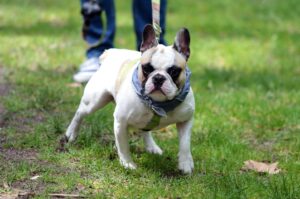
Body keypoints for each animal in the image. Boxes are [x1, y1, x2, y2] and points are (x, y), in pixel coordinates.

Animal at [64, 24, 195, 173]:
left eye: (174, 71)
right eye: (146, 68)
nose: (158, 78)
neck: (159, 103)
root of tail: (111, 54)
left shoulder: (186, 120)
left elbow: (185, 144)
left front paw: (185, 164)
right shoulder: (121, 122)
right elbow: (123, 146)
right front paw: (127, 163)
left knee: (145, 130)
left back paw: (152, 147)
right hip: (94, 101)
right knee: (80, 113)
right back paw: (71, 133)